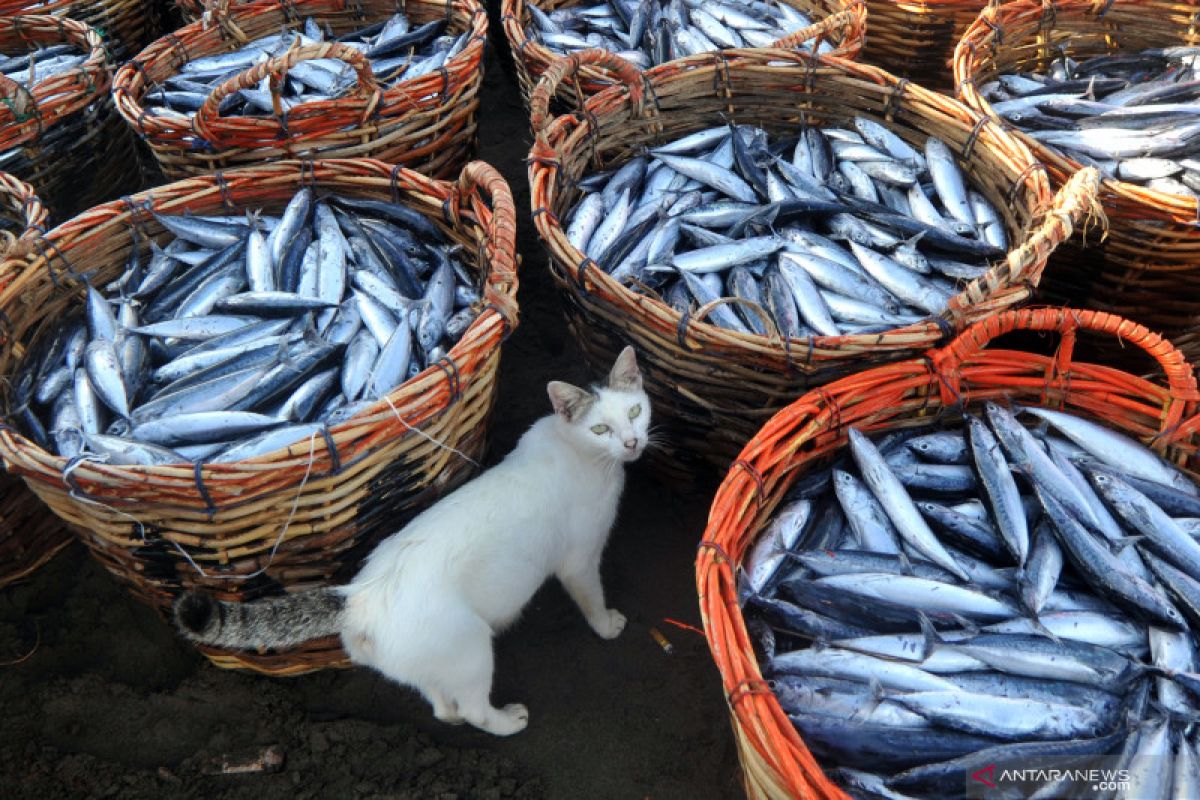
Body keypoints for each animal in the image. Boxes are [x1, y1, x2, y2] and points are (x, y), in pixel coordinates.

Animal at [174, 347, 652, 734]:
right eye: (600, 430)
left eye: (634, 413)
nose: (633, 442)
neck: (578, 452)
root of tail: (360, 597)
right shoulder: (580, 559)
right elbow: (591, 597)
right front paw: (607, 625)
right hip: (472, 650)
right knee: (475, 709)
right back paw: (507, 720)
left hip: (429, 662)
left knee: (440, 701)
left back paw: (450, 712)